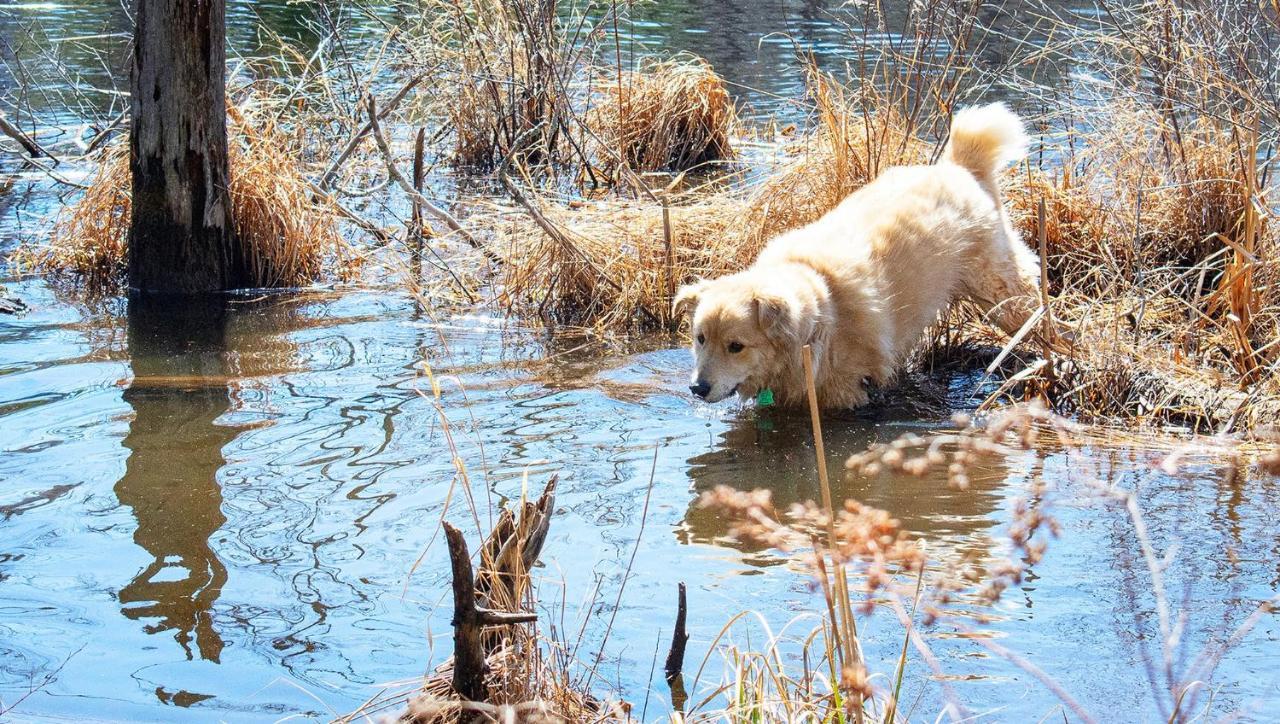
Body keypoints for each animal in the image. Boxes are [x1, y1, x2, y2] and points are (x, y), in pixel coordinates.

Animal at [675, 102, 1044, 411]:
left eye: (736, 346)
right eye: (701, 339)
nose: (698, 388)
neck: (823, 315)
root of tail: (958, 166)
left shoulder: (849, 390)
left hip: (1002, 293)